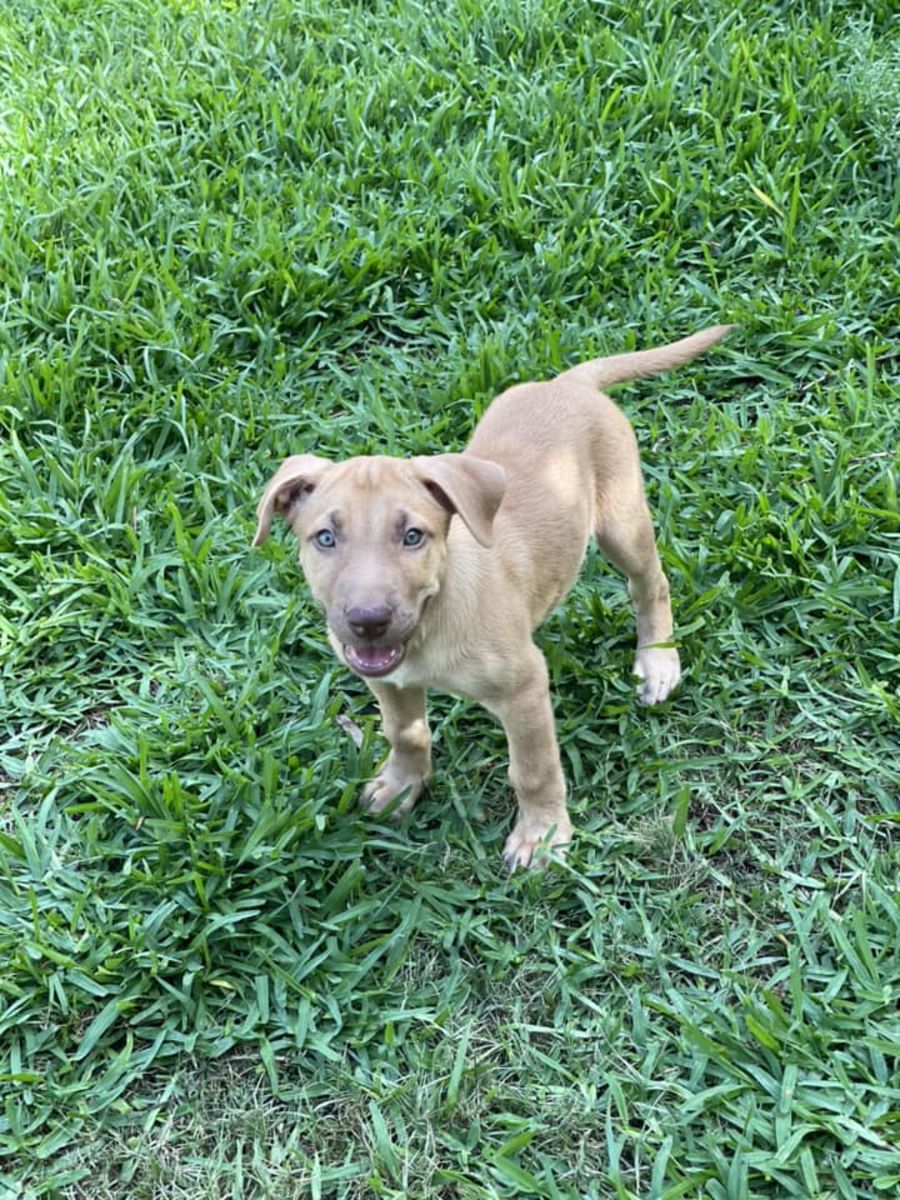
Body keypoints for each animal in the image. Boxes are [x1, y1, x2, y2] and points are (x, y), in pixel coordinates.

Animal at [253, 325, 733, 868]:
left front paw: (541, 835)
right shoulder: (387, 679)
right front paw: (402, 785)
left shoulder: (524, 688)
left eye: (413, 536)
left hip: (622, 522)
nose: (368, 621)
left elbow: (534, 770)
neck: (430, 624)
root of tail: (567, 384)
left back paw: (657, 661)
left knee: (651, 584)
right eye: (325, 538)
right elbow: (405, 732)